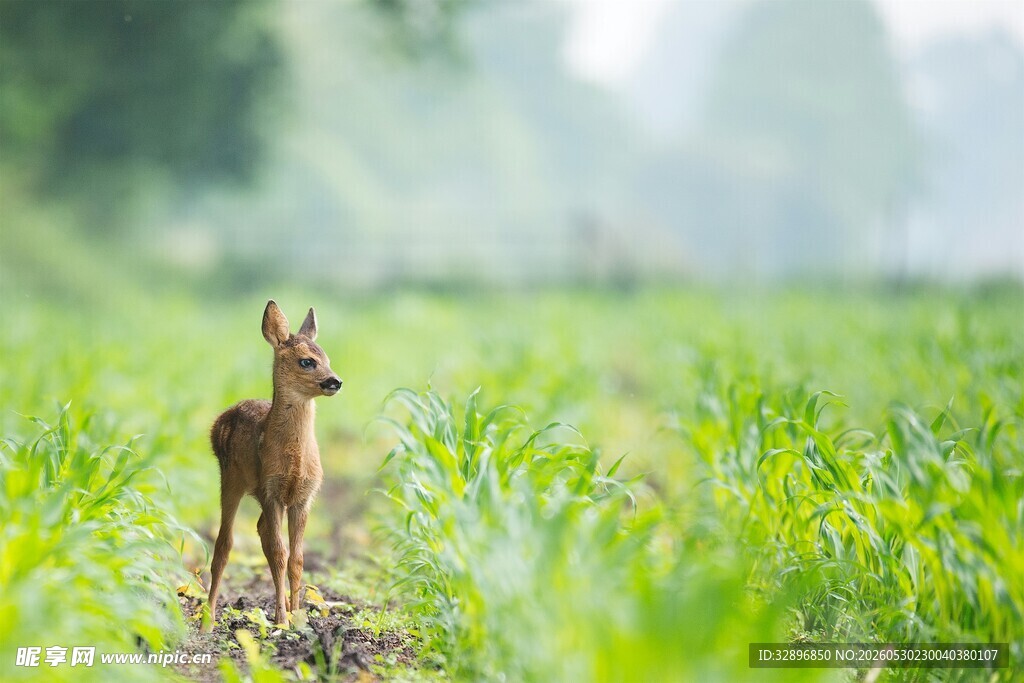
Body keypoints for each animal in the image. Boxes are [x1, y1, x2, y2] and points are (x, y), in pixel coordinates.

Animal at [202, 300, 342, 632]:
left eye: (327, 358)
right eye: (307, 362)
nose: (335, 381)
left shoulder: (304, 497)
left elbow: (297, 558)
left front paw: (298, 617)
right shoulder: (271, 490)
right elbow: (280, 554)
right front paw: (281, 620)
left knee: (261, 532)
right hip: (230, 479)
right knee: (224, 545)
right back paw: (207, 621)